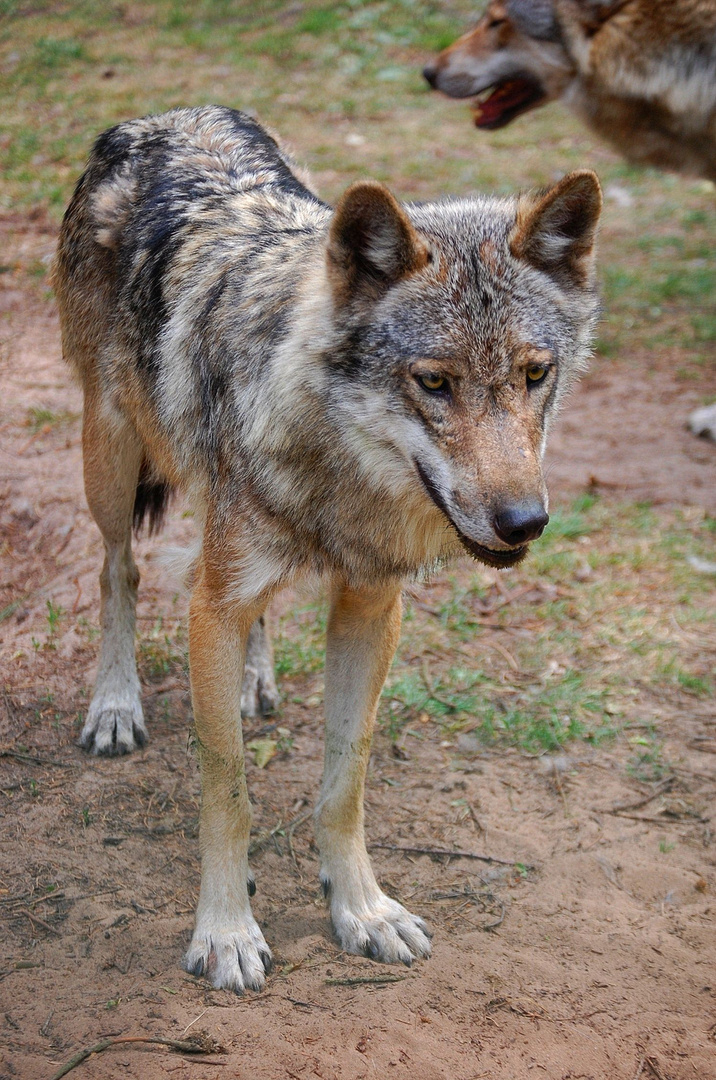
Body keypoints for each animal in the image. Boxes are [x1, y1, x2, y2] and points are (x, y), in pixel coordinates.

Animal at [56, 105, 600, 989]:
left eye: (533, 373)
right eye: (434, 382)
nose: (524, 522)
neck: (336, 467)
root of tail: (170, 115)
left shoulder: (371, 606)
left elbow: (346, 780)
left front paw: (362, 910)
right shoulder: (215, 606)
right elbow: (228, 787)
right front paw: (227, 930)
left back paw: (254, 683)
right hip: (109, 456)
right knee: (118, 571)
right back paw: (114, 705)